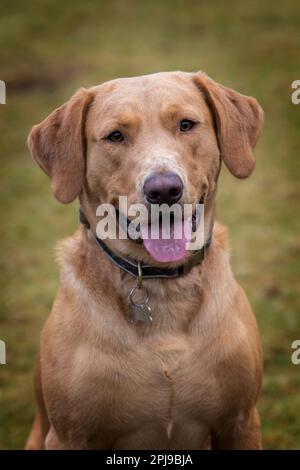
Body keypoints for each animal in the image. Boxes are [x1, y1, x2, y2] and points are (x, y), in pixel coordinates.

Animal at [26, 71, 264, 450]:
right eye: (115, 136)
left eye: (186, 124)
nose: (164, 190)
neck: (163, 285)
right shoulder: (69, 436)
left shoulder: (241, 422)